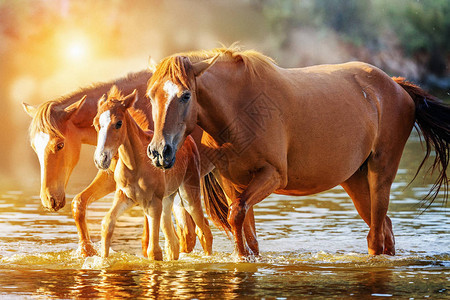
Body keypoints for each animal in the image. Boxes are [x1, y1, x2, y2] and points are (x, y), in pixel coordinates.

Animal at [21, 69, 197, 255]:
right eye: (34, 146)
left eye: (60, 145)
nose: (49, 200)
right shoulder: (113, 175)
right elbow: (79, 203)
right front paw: (87, 251)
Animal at [92, 86, 213, 260]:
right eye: (95, 124)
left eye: (118, 123)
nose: (101, 159)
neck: (135, 165)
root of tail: (188, 140)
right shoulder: (125, 196)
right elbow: (107, 223)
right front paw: (103, 260)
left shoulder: (152, 203)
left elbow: (153, 251)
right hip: (168, 199)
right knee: (173, 243)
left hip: (189, 194)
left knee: (204, 230)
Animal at [146, 46, 448, 258]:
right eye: (151, 95)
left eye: (186, 95)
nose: (160, 151)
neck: (240, 110)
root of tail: (396, 85)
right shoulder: (232, 182)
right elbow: (244, 226)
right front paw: (245, 256)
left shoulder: (272, 175)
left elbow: (236, 215)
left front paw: (240, 257)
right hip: (356, 181)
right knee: (385, 228)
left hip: (381, 174)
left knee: (376, 236)